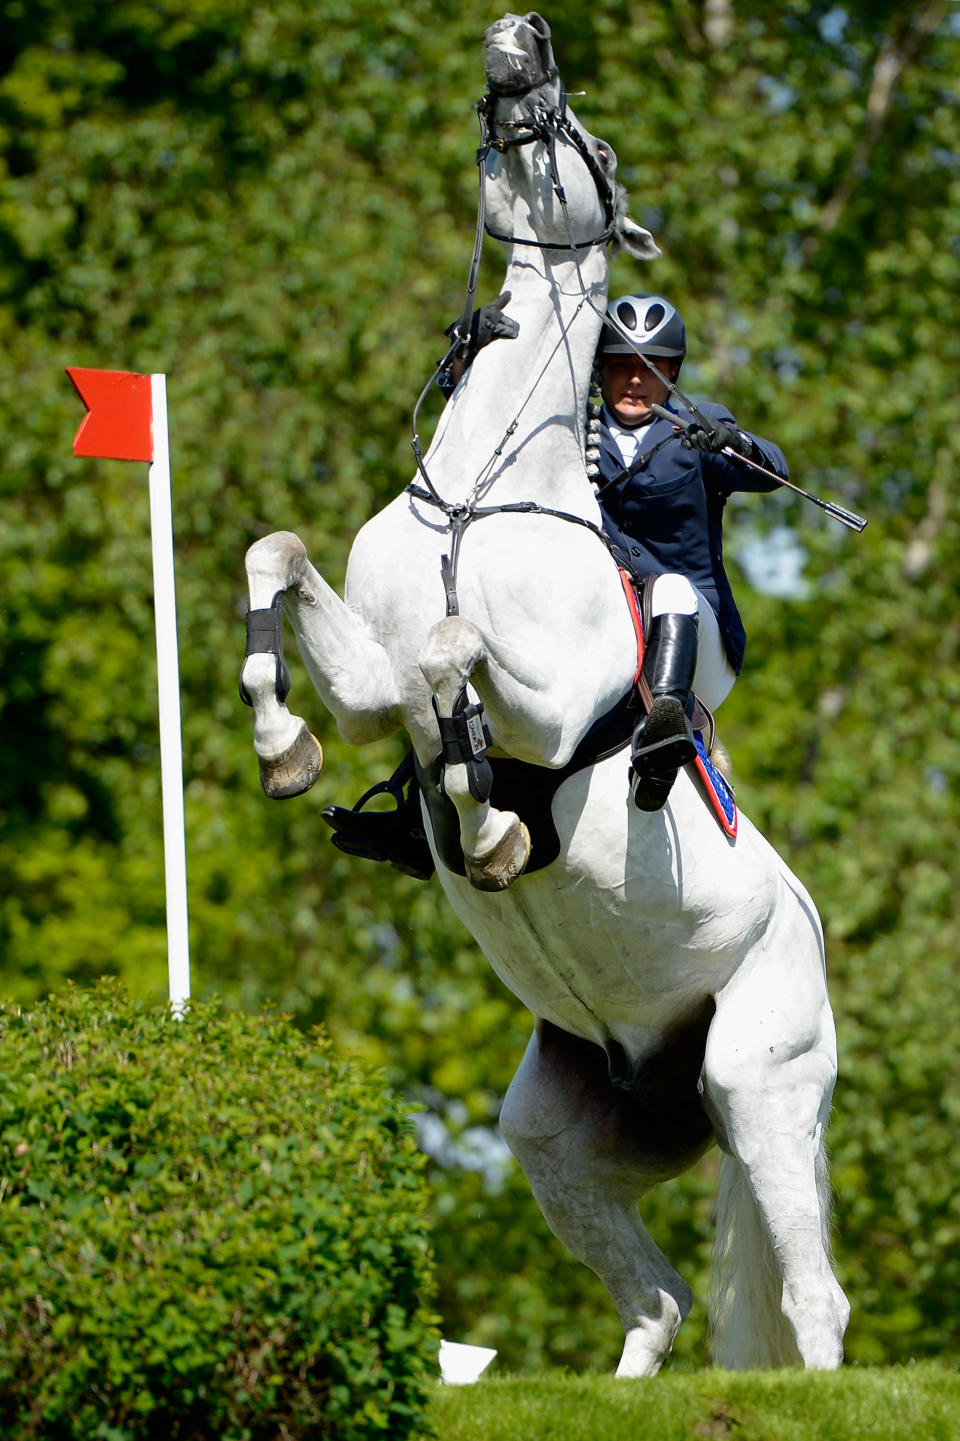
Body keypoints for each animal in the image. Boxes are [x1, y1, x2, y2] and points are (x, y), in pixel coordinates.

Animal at [237, 14, 847, 1383]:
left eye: (595, 147)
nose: (521, 40)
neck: (479, 489)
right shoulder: (368, 679)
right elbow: (288, 571)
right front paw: (286, 744)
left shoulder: (555, 710)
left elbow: (450, 656)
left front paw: (493, 826)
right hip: (565, 1135)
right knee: (657, 1300)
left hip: (760, 1078)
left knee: (813, 1300)